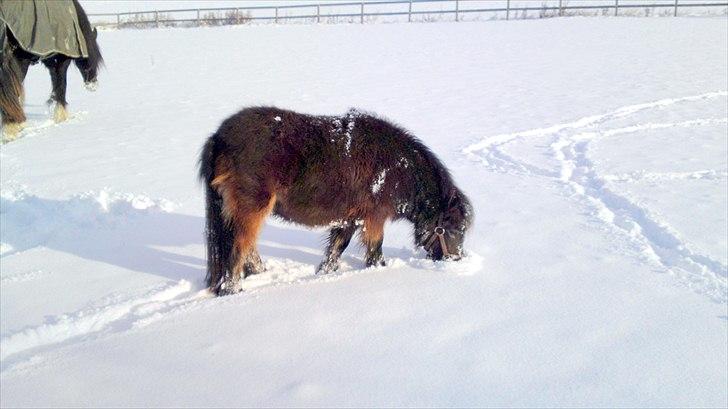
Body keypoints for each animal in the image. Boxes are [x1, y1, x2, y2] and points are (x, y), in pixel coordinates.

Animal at [0, 0, 102, 140]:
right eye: (93, 58)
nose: (93, 85)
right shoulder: (61, 59)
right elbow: (61, 85)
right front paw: (61, 116)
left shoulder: (49, 60)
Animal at [199, 107, 474, 294]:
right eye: (452, 229)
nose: (457, 259)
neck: (398, 168)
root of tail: (218, 137)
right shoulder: (374, 218)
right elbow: (375, 252)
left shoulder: (350, 219)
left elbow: (335, 251)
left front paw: (323, 274)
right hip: (252, 209)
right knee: (238, 250)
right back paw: (233, 289)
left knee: (247, 248)